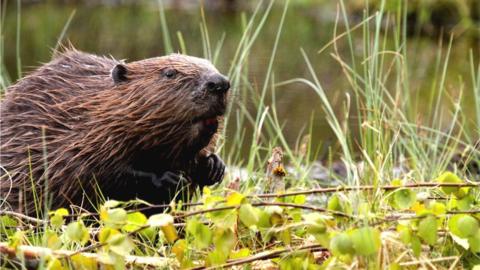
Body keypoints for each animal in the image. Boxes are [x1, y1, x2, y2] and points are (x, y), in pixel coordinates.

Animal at [0, 48, 230, 214]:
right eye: (169, 73)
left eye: (211, 64)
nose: (220, 83)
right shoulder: (75, 138)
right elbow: (94, 173)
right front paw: (168, 178)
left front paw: (214, 166)